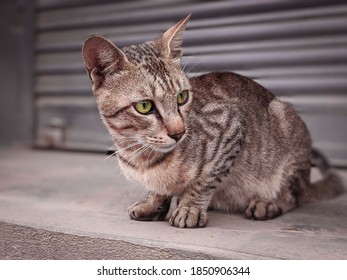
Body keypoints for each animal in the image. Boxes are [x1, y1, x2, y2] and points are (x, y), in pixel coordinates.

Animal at [82, 14, 346, 228]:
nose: (179, 132)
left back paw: (268, 203)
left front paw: (189, 208)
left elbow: (206, 179)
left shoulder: (231, 127)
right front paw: (152, 203)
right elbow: (159, 190)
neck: (141, 156)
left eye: (182, 97)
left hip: (286, 126)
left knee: (294, 196)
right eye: (145, 106)